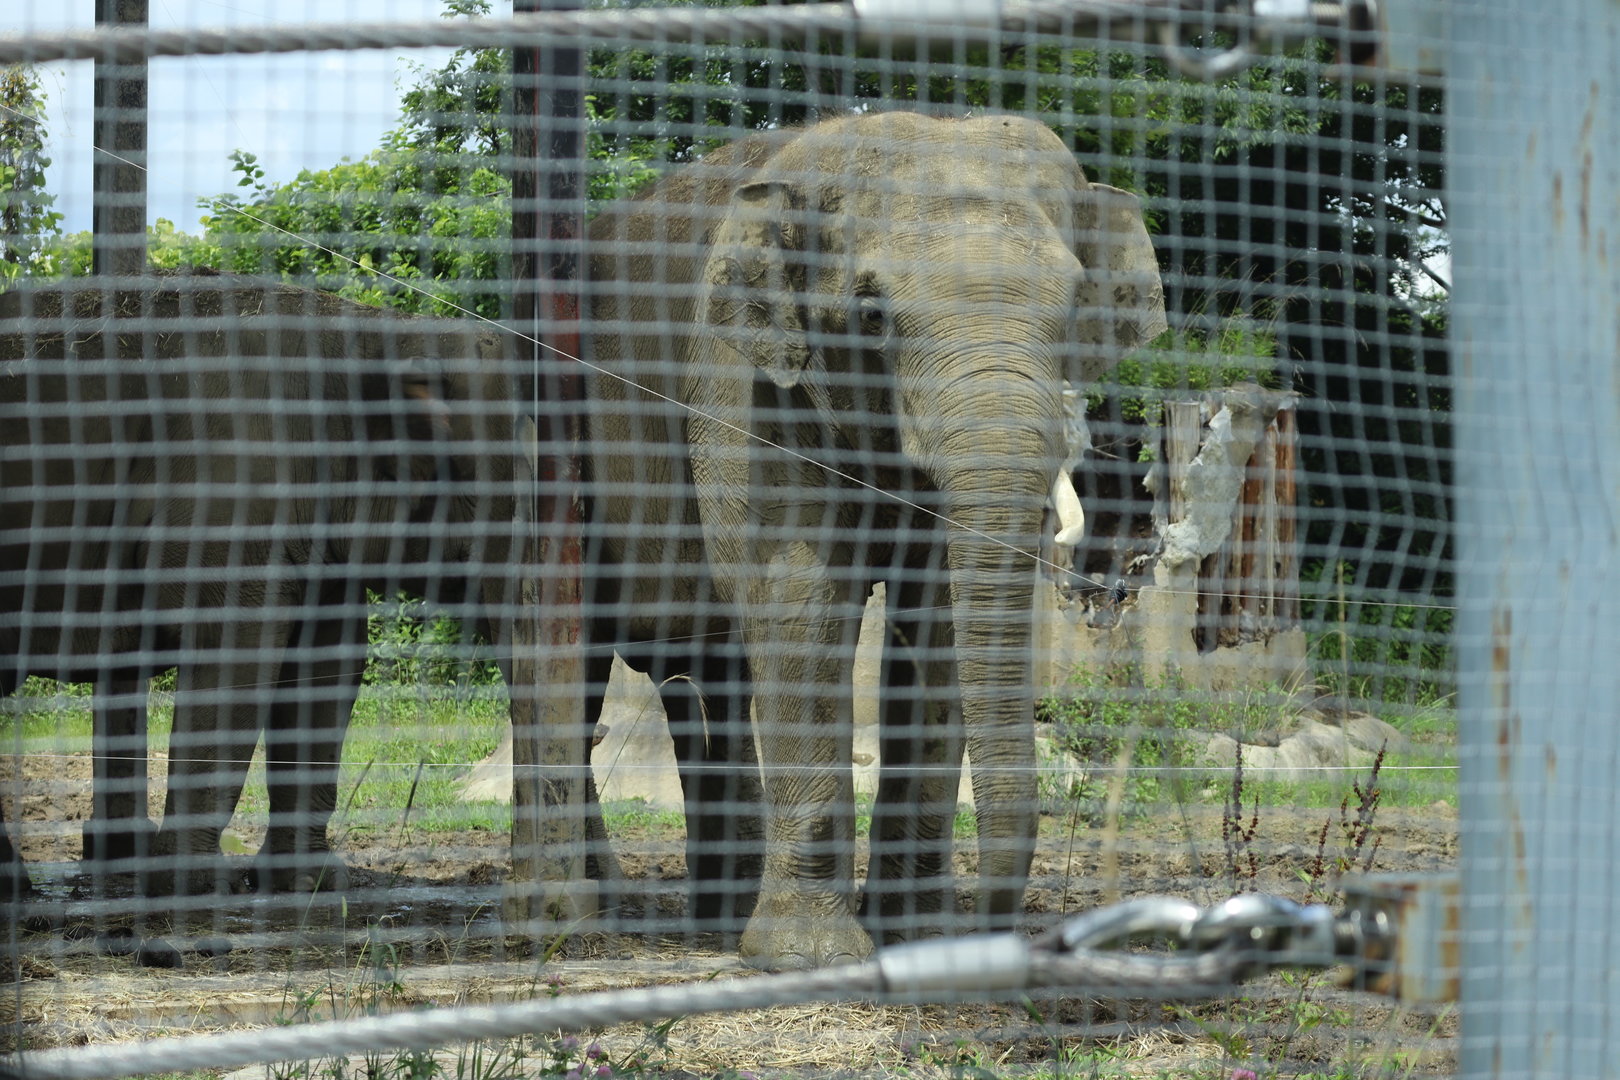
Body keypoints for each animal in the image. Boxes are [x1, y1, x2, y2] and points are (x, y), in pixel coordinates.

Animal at [0, 273, 537, 907]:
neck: (370, 328)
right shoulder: (232, 490)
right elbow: (237, 653)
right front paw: (193, 889)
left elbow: (326, 666)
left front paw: (309, 884)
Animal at [583, 111, 1167, 969]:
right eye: (871, 316)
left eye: (1070, 316)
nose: (995, 931)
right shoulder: (743, 385)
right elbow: (799, 595)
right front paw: (811, 956)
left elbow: (935, 618)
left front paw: (921, 940)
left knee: (705, 679)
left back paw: (720, 922)